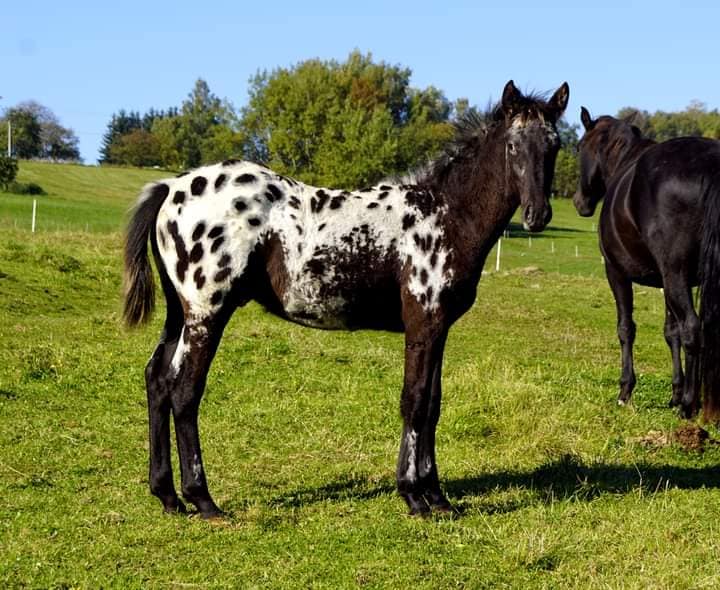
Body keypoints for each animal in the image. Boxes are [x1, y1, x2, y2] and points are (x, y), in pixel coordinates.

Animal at [122, 80, 568, 520]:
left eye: (555, 145)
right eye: (512, 145)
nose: (537, 215)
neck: (443, 214)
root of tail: (170, 188)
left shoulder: (438, 328)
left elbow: (433, 403)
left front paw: (438, 496)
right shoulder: (423, 323)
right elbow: (415, 402)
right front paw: (414, 496)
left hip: (180, 313)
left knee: (157, 379)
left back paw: (168, 497)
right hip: (207, 311)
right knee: (184, 392)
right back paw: (203, 500)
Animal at [576, 108, 720, 424]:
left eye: (578, 147)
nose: (580, 203)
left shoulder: (617, 273)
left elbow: (626, 328)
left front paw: (625, 391)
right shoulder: (667, 281)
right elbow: (671, 332)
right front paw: (675, 391)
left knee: (693, 329)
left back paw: (689, 405)